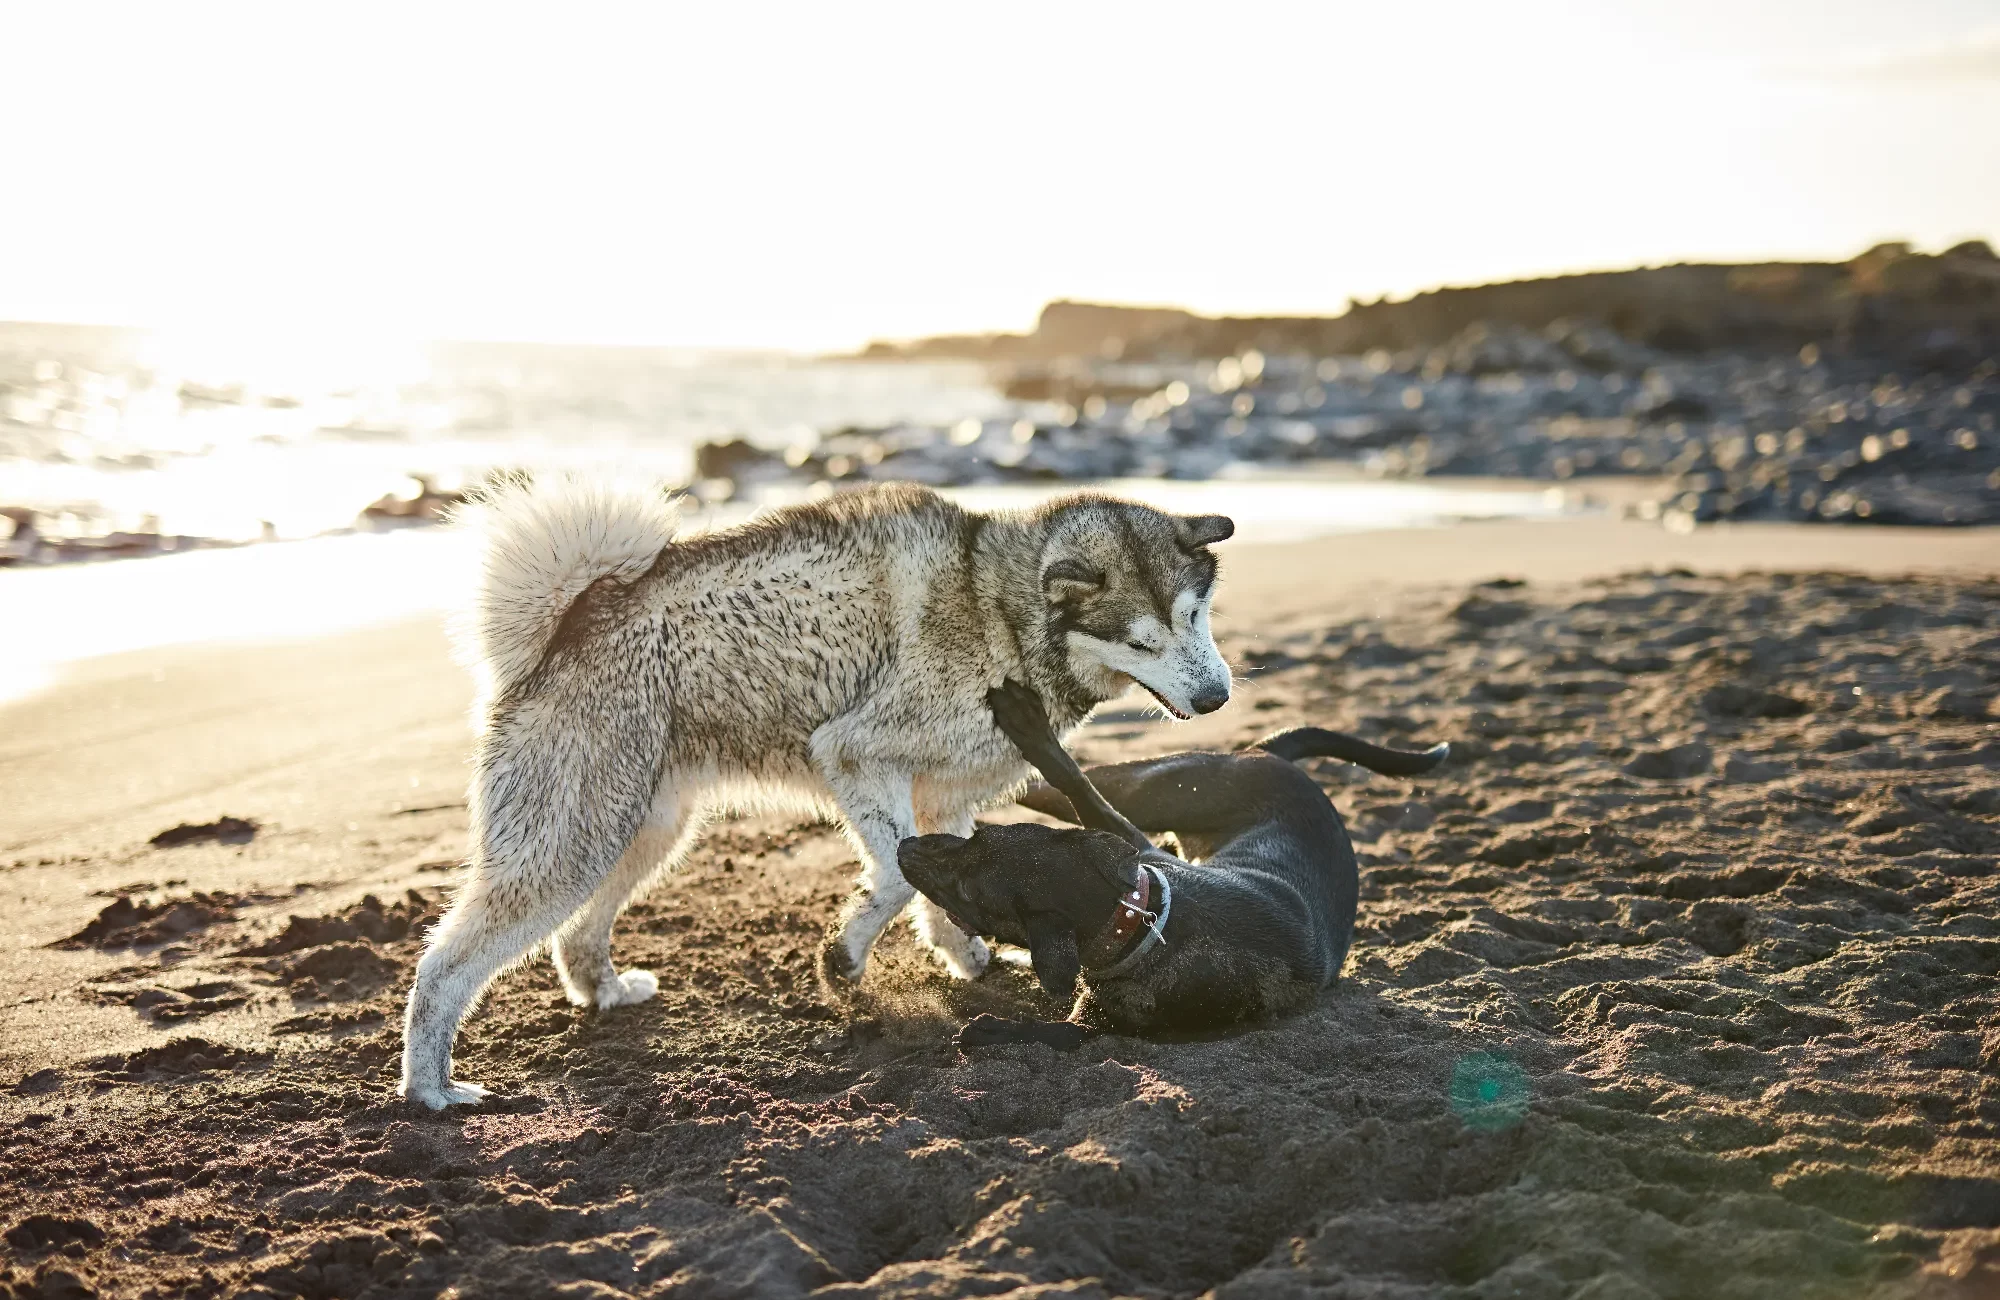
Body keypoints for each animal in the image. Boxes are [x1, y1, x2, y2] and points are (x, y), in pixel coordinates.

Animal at [398, 476, 1224, 1104]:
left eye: (1195, 615)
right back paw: (431, 1089)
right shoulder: (854, 752)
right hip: (572, 844)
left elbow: (942, 878)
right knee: (442, 969)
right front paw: (844, 959)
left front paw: (963, 952)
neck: (1001, 609)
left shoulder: (942, 796)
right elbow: (897, 876)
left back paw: (601, 991)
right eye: (1142, 640)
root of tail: (570, 623)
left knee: (575, 934)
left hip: (642, 832)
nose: (1218, 695)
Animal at [900, 680, 1448, 1040]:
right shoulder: (1138, 849)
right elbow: (1078, 785)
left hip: (1167, 786)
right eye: (979, 839)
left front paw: (983, 1029)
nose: (907, 847)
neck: (1136, 916)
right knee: (1069, 781)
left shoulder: (1097, 1025)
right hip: (1160, 797)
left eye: (970, 893)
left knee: (1066, 781)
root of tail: (1274, 758)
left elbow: (1030, 1031)